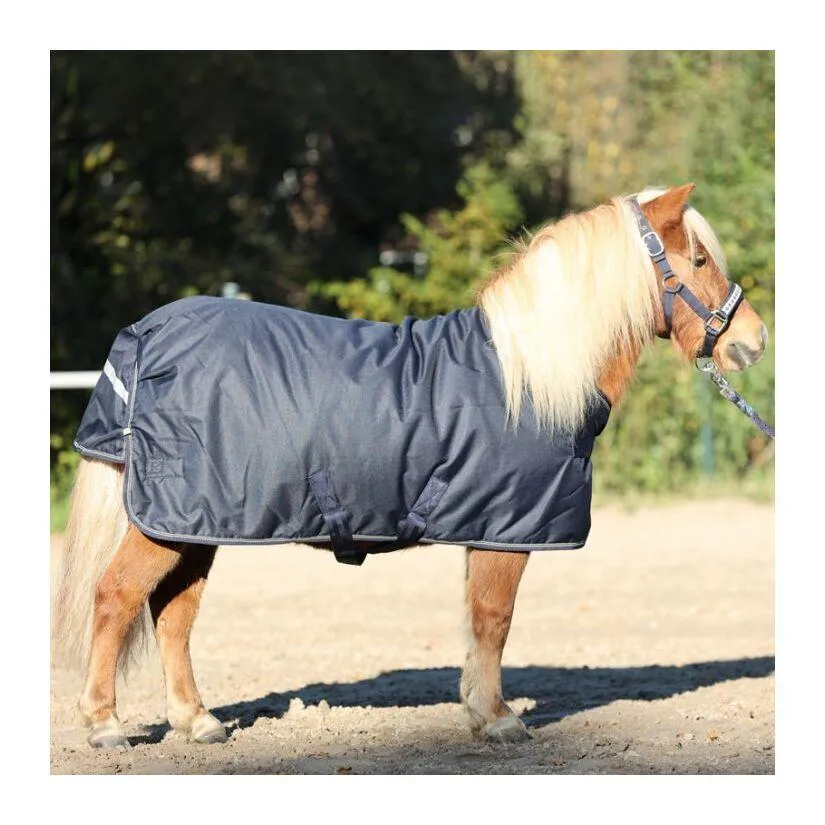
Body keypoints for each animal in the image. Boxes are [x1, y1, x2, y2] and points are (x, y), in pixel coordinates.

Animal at [52, 183, 769, 749]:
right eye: (698, 260)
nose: (752, 341)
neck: (527, 376)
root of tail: (146, 335)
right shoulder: (505, 530)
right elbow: (494, 618)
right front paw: (498, 718)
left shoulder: (489, 526)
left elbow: (479, 620)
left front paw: (479, 710)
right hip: (166, 523)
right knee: (116, 597)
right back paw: (106, 724)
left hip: (192, 526)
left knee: (173, 613)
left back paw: (198, 721)